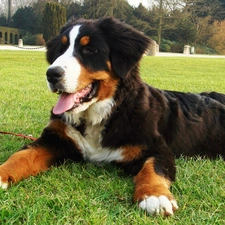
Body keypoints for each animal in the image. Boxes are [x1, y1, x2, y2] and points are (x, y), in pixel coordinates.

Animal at [0, 18, 225, 216]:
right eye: (61, 49)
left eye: (90, 50)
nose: (51, 74)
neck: (101, 114)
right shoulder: (55, 139)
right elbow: (21, 157)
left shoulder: (157, 148)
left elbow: (152, 169)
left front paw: (155, 196)